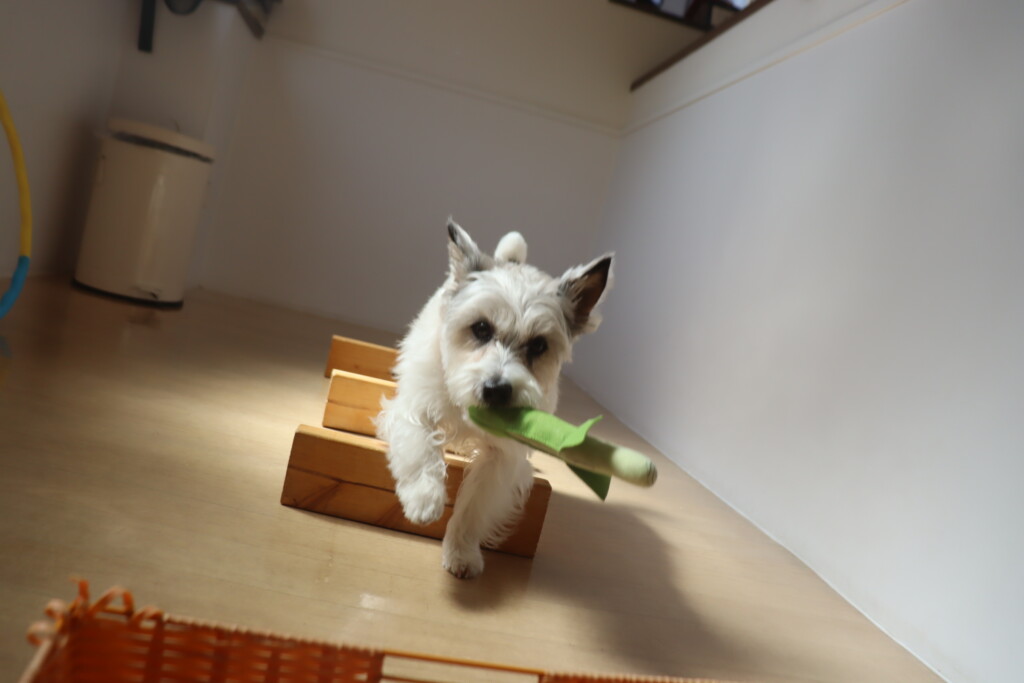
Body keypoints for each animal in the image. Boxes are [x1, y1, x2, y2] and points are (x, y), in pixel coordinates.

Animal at [376, 219, 612, 578]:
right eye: (481, 328)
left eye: (539, 345)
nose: (497, 389)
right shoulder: (412, 410)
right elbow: (421, 450)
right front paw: (423, 498)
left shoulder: (502, 459)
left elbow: (473, 508)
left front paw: (461, 552)